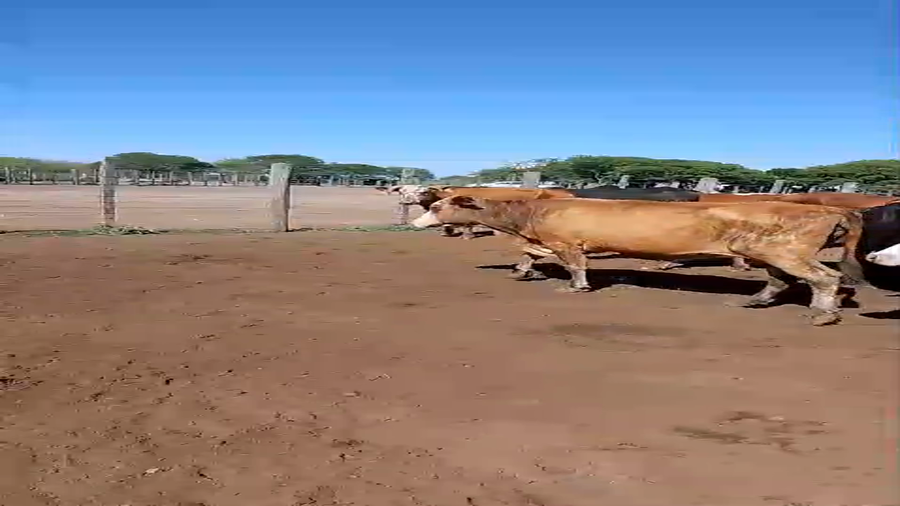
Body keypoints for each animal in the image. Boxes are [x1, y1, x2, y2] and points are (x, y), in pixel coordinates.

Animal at [412, 196, 866, 326]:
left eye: (436, 206)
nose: (416, 222)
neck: (531, 214)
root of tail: (832, 209)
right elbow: (528, 254)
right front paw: (524, 271)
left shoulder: (567, 243)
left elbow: (576, 267)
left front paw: (575, 287)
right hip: (767, 253)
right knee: (781, 280)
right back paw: (755, 302)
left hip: (785, 251)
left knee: (822, 278)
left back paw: (823, 313)